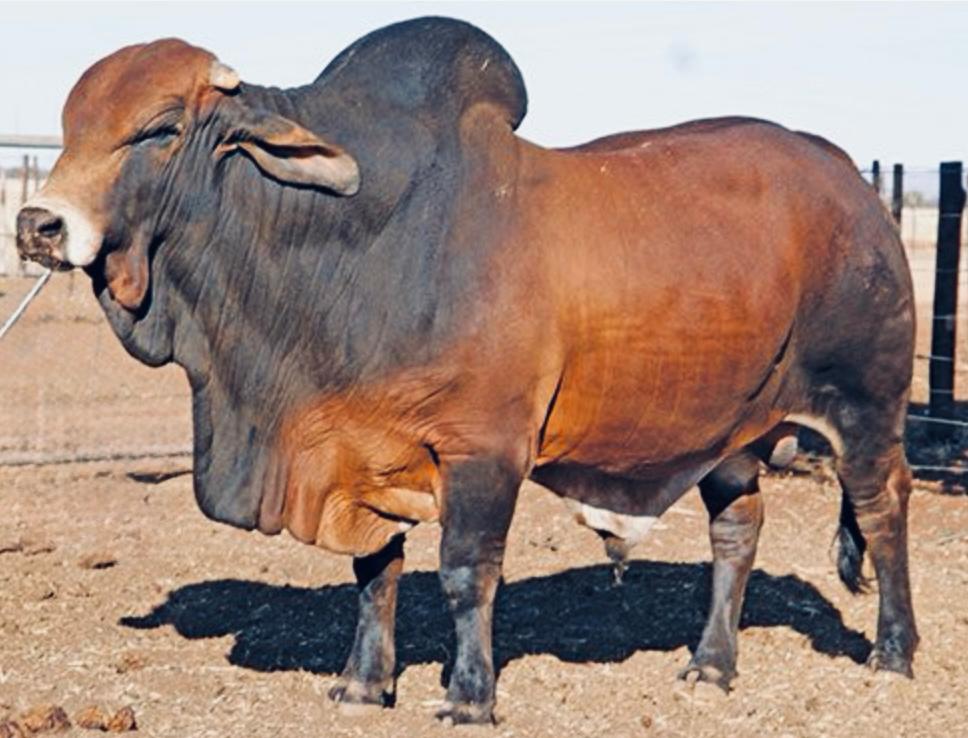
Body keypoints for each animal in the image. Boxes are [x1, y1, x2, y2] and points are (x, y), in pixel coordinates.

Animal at [16, 16, 917, 725]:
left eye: (161, 128)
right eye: (69, 124)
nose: (38, 224)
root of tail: (851, 180)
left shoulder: (485, 449)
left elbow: (465, 572)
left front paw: (468, 696)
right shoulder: (363, 455)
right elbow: (375, 572)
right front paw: (362, 685)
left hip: (867, 408)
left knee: (882, 511)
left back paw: (894, 652)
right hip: (727, 432)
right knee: (738, 528)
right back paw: (711, 664)